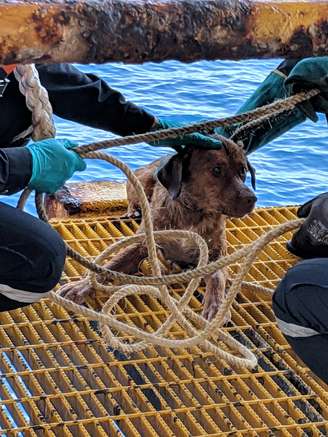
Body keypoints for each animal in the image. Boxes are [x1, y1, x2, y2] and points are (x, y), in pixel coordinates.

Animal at [60, 140, 256, 320]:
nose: (252, 199)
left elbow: (216, 278)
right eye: (216, 170)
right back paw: (133, 211)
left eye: (243, 171)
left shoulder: (217, 254)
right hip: (142, 180)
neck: (192, 213)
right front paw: (81, 286)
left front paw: (217, 307)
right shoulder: (143, 244)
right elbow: (110, 266)